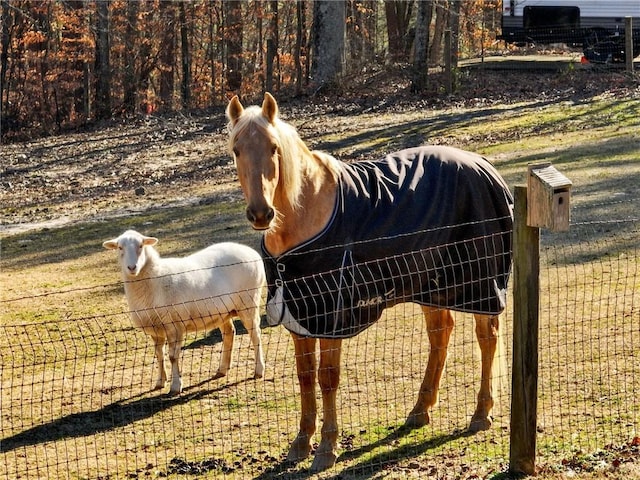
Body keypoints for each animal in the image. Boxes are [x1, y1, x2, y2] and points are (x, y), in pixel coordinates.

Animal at [104, 232, 264, 394]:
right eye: (120, 247)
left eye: (141, 245)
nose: (132, 267)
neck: (155, 280)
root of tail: (251, 252)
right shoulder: (156, 328)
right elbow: (159, 355)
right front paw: (160, 382)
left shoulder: (174, 326)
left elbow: (172, 357)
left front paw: (176, 385)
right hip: (223, 312)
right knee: (229, 333)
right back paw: (222, 369)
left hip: (249, 303)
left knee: (255, 335)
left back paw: (259, 370)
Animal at [226, 92, 516, 470]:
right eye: (236, 150)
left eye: (274, 147)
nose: (261, 214)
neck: (307, 214)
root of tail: (484, 165)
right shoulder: (300, 317)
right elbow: (305, 377)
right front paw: (301, 444)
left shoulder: (331, 318)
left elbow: (327, 377)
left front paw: (326, 448)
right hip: (432, 287)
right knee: (441, 336)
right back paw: (419, 411)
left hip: (479, 286)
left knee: (487, 338)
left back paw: (481, 415)